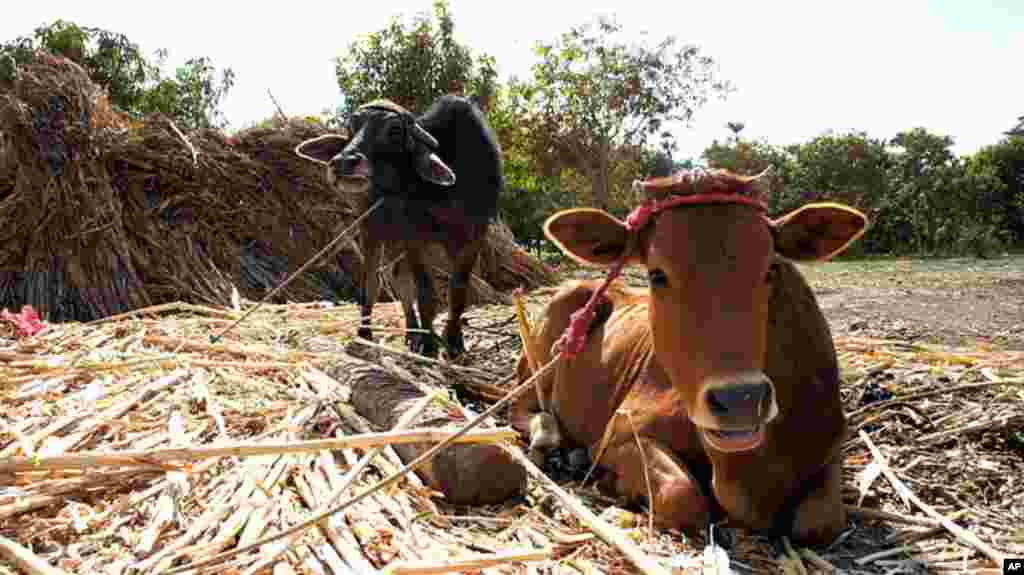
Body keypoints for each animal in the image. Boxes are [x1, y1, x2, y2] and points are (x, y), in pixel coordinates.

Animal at [295, 96, 503, 358]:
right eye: (351, 128)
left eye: (394, 131)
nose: (342, 163)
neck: (440, 193)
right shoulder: (413, 237)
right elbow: (424, 291)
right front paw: (429, 345)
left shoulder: (474, 236)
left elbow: (458, 290)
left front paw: (454, 342)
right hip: (372, 229)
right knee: (373, 283)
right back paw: (368, 333)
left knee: (397, 278)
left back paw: (412, 334)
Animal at [511, 168, 867, 546]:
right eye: (657, 274)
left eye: (769, 269)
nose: (740, 400)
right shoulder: (620, 431)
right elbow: (683, 497)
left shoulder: (832, 448)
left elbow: (820, 521)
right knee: (521, 407)